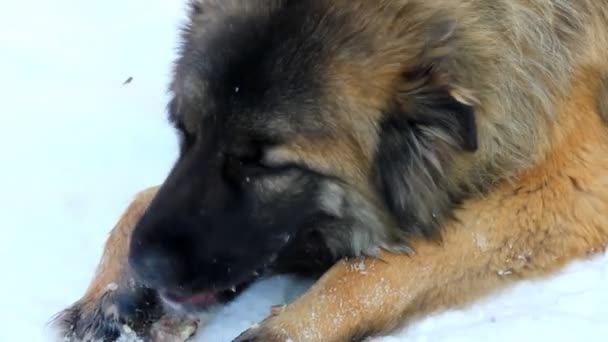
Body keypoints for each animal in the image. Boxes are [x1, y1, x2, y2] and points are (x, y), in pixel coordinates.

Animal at [51, 0, 608, 342]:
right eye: (184, 133)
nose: (144, 265)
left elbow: (379, 266)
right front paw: (112, 293)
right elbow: (142, 199)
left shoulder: (567, 184)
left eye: (264, 166)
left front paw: (290, 328)